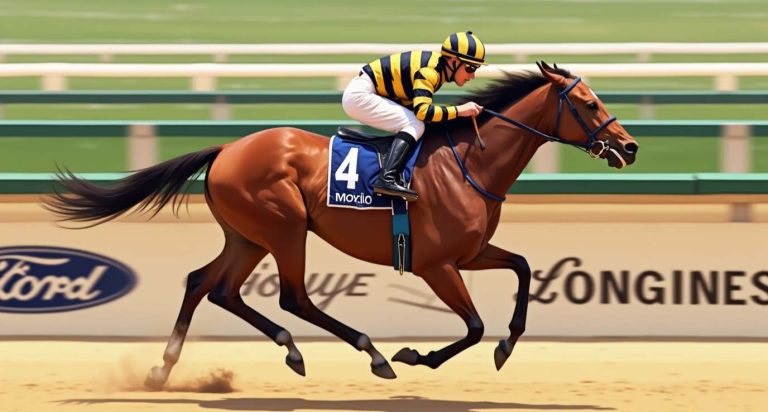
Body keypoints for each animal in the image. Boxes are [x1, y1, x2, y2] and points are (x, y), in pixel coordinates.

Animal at [44, 62, 638, 388]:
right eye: (589, 103)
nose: (630, 146)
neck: (471, 161)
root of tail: (227, 150)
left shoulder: (470, 252)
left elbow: (523, 268)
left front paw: (508, 345)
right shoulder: (436, 264)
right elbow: (472, 325)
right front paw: (415, 355)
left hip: (248, 235)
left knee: (210, 285)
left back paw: (166, 370)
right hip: (283, 228)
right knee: (291, 297)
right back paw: (366, 353)